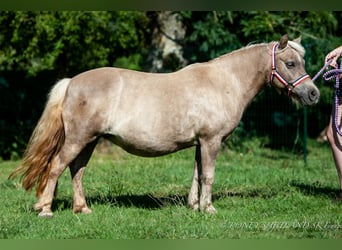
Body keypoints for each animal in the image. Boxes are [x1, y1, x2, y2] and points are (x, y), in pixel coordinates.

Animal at [9, 35, 320, 217]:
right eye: (290, 63)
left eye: (301, 61)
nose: (313, 94)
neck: (224, 82)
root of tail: (72, 81)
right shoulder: (211, 141)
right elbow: (208, 176)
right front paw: (209, 209)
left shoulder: (200, 143)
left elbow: (196, 174)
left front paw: (194, 206)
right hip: (78, 139)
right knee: (57, 167)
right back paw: (45, 210)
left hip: (90, 140)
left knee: (77, 171)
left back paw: (82, 209)